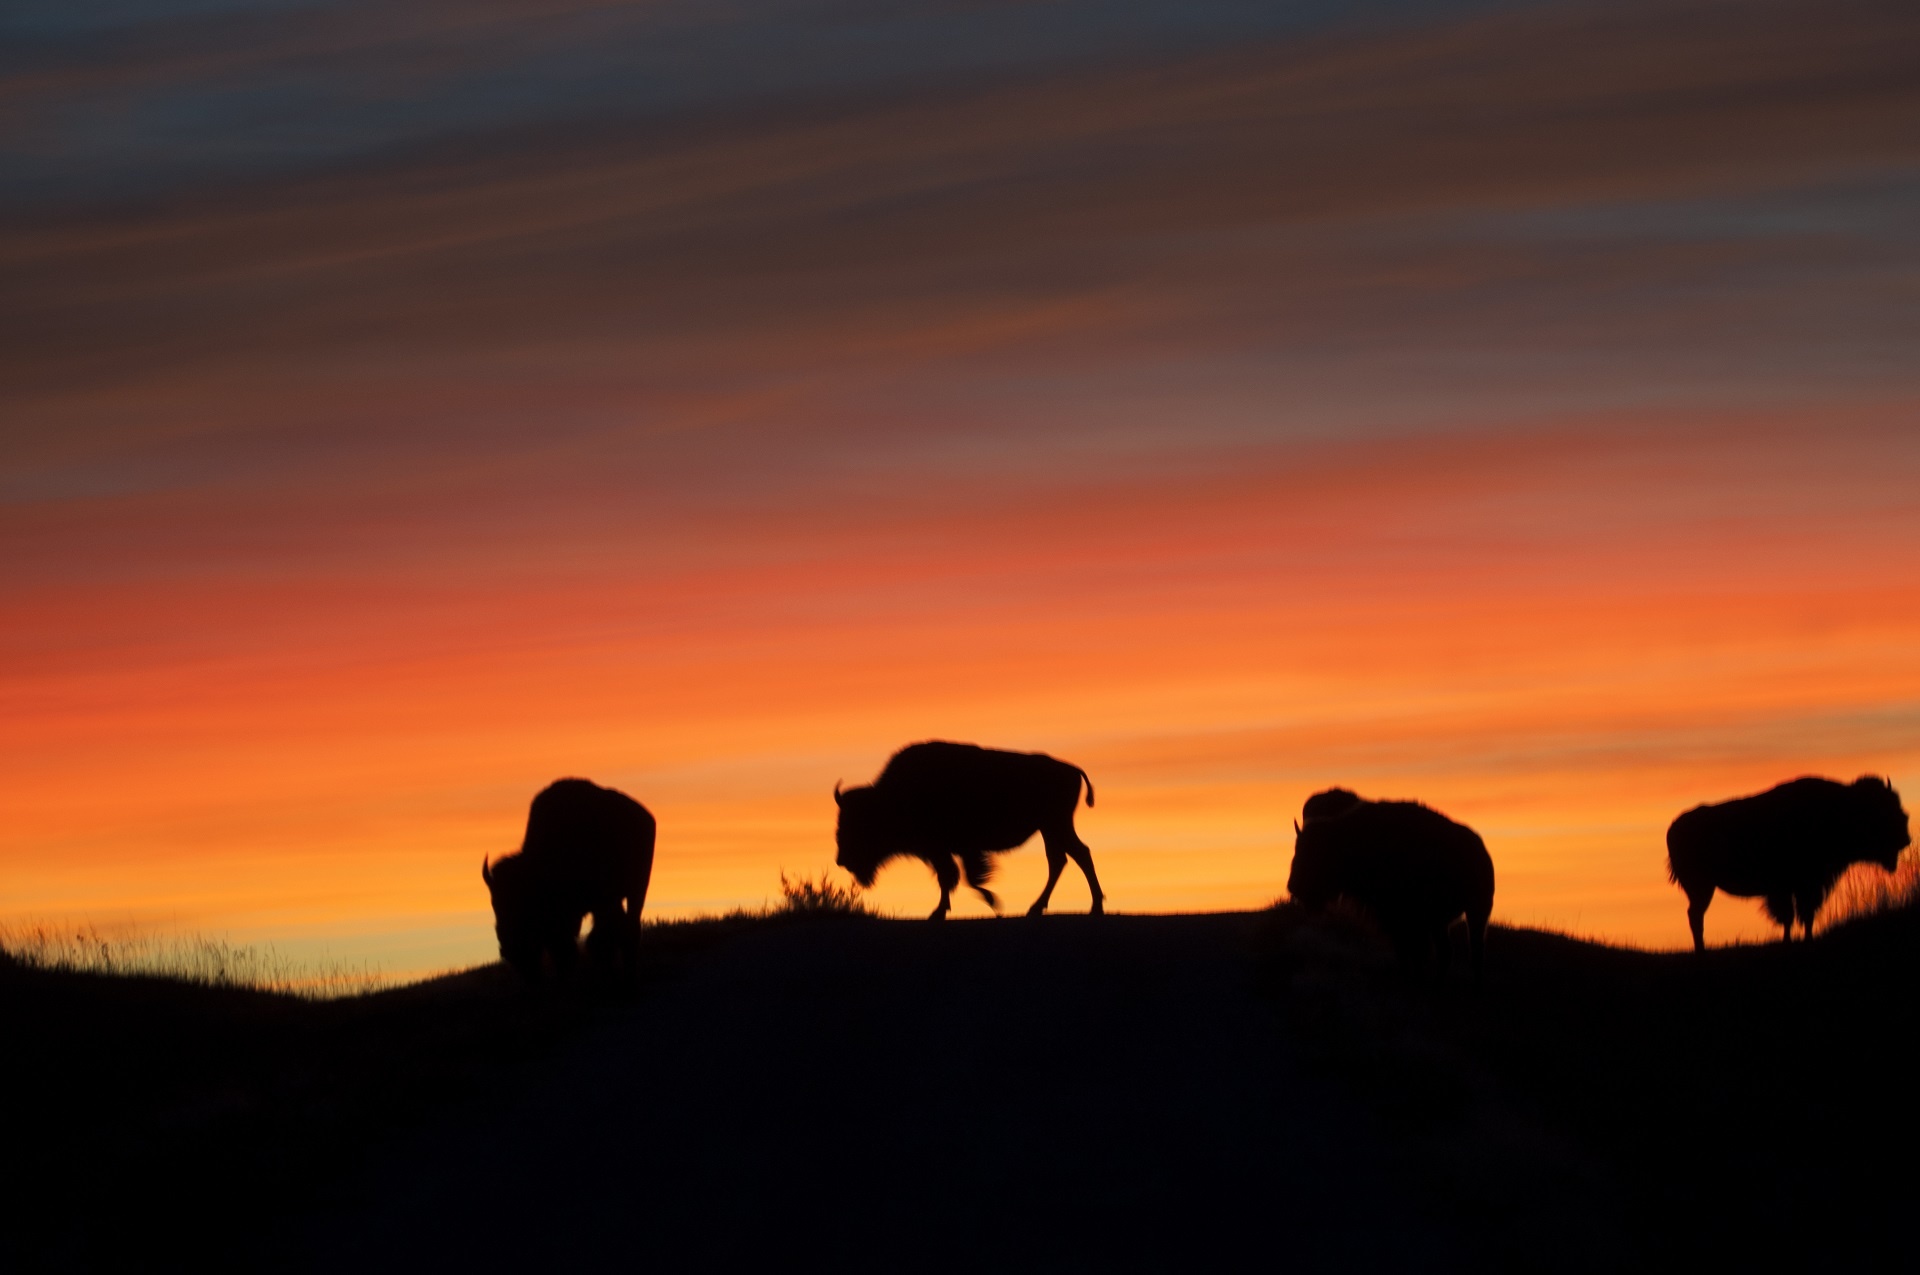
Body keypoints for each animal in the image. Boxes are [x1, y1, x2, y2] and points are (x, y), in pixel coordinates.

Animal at [483, 771, 656, 979]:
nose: (512, 951)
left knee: (627, 929)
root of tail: (644, 815)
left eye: (523, 904)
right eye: (494, 903)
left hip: (636, 889)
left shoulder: (601, 902)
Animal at [833, 741, 1105, 921]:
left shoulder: (946, 849)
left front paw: (983, 904)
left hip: (1056, 824)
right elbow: (955, 877)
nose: (841, 860)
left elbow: (958, 877)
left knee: (1077, 855)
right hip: (1050, 828)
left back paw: (1093, 906)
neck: (891, 798)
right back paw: (1040, 907)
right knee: (1062, 859)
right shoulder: (944, 851)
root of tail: (1072, 769)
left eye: (858, 824)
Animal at [1290, 787, 1497, 983]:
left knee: (1474, 950)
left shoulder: (1407, 918)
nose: (1293, 886)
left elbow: (1413, 951)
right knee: (1448, 952)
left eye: (1315, 854)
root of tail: (1481, 850)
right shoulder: (1398, 918)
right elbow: (1406, 951)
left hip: (1476, 910)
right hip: (1444, 921)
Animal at [1666, 771, 1904, 952]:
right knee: (1695, 915)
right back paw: (1701, 949)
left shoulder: (1807, 887)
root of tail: (1674, 828)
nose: (1906, 838)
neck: (1839, 809)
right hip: (1701, 888)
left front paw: (1805, 938)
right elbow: (1790, 915)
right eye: (1879, 810)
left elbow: (1804, 914)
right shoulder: (1790, 888)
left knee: (1695, 915)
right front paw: (1790, 941)